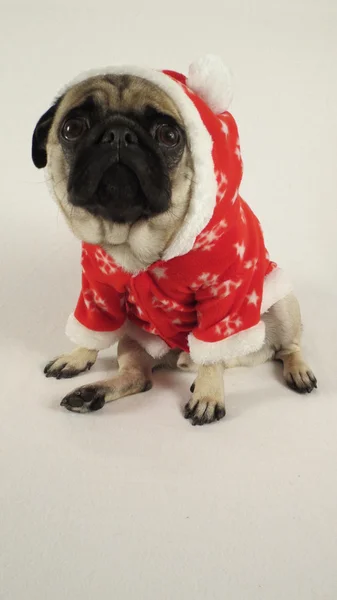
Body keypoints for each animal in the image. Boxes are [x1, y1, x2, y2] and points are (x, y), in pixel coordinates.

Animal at [30, 55, 316, 422]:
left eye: (168, 135)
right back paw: (92, 393)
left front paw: (208, 394)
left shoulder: (224, 298)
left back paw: (297, 371)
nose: (118, 134)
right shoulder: (97, 290)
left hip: (281, 304)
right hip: (135, 339)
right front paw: (78, 355)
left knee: (285, 348)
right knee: (139, 377)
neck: (135, 240)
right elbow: (93, 327)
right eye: (72, 128)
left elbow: (213, 352)